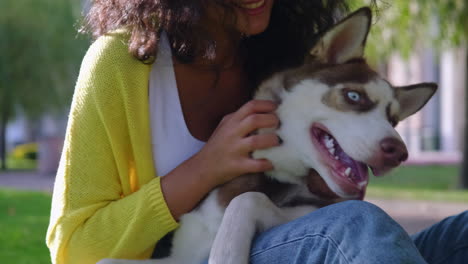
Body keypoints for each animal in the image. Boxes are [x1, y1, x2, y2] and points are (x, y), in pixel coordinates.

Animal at [98, 7, 436, 264]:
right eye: (354, 96)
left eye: (393, 119)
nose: (398, 152)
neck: (275, 172)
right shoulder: (182, 256)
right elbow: (105, 258)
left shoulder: (312, 211)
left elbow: (247, 200)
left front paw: (226, 253)